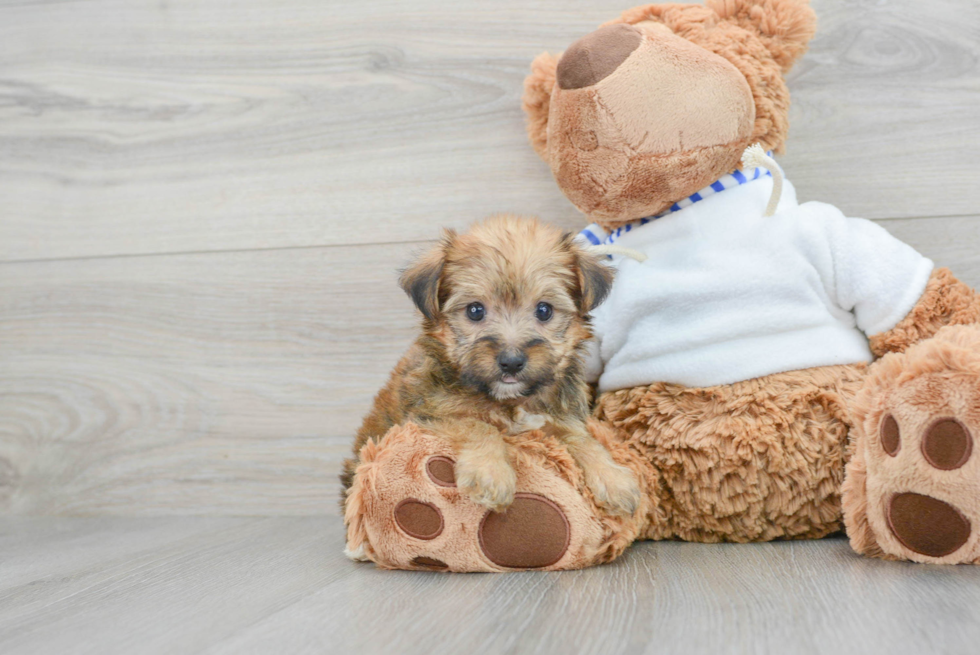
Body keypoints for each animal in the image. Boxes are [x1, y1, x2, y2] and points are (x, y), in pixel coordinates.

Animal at [344, 215, 644, 516]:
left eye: (544, 310)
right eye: (475, 311)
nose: (511, 362)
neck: (510, 401)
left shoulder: (560, 417)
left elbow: (582, 438)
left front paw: (613, 478)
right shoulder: (430, 413)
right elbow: (478, 424)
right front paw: (490, 473)